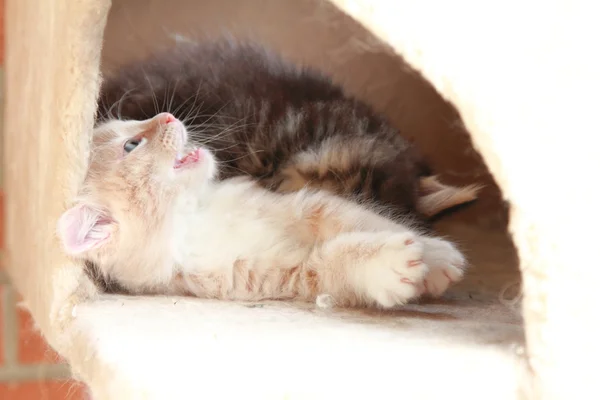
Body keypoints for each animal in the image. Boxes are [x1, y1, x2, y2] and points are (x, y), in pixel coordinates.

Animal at [57, 114, 468, 308]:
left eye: (131, 123)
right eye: (131, 144)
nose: (168, 116)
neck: (194, 218)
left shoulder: (303, 204)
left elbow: (362, 218)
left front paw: (434, 254)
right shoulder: (269, 275)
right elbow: (332, 262)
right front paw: (389, 264)